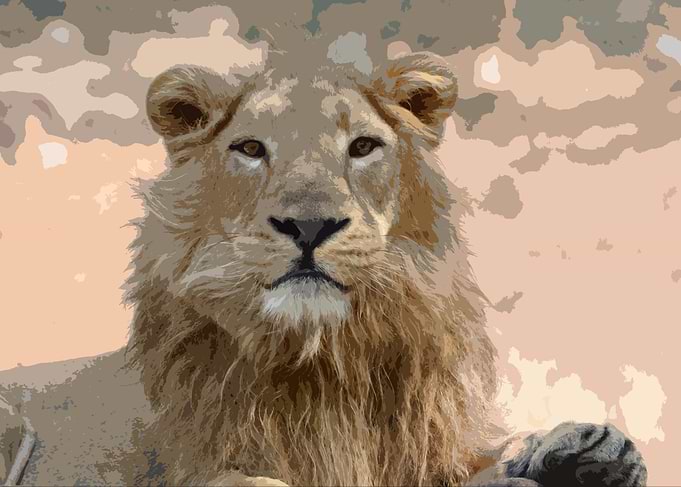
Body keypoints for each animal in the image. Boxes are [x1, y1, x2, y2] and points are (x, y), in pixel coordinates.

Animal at [117, 48, 647, 487]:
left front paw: (586, 452)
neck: (321, 358)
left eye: (363, 147)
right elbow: (246, 479)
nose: (309, 226)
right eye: (250, 149)